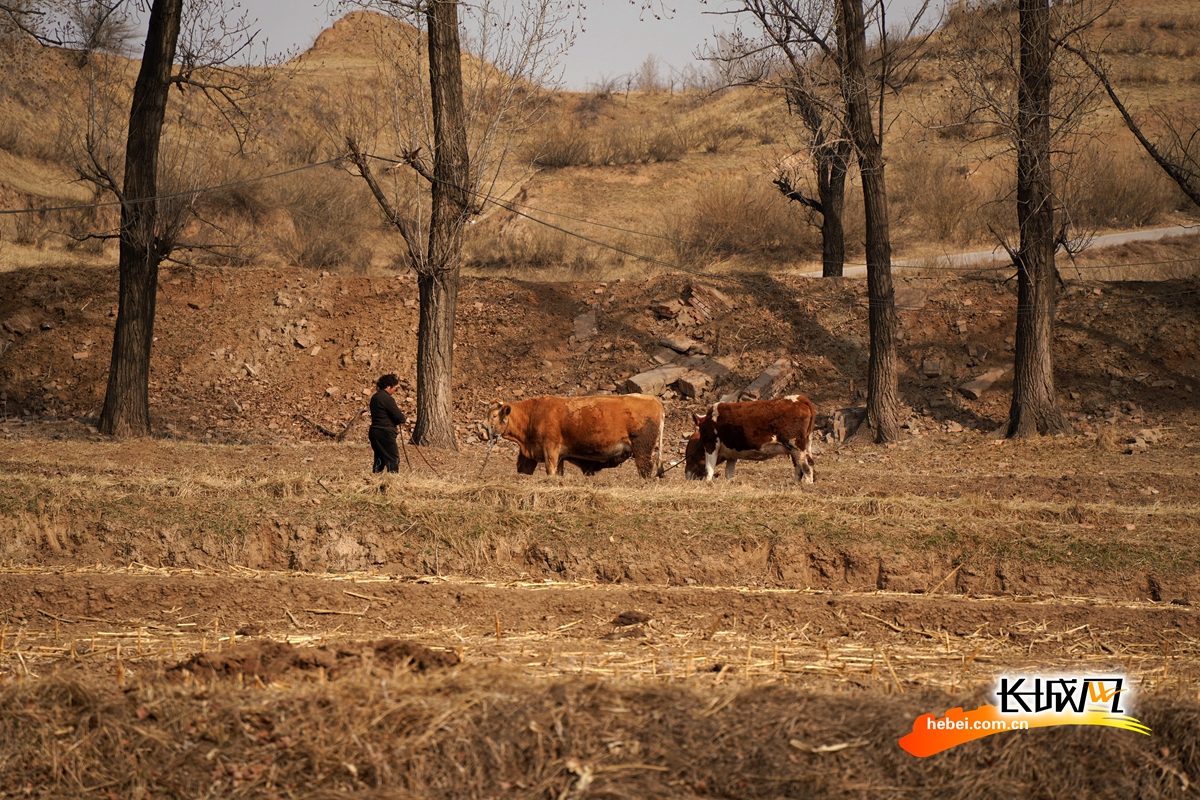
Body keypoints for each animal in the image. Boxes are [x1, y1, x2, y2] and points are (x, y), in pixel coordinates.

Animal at [482, 395, 667, 479]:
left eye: (494, 416)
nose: (481, 431)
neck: (533, 414)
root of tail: (653, 399)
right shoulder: (558, 456)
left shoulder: (551, 448)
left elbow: (550, 470)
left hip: (642, 449)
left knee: (645, 468)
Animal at [686, 393, 816, 482]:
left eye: (691, 457)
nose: (687, 475)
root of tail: (799, 398)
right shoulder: (732, 454)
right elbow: (729, 473)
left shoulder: (711, 444)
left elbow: (709, 467)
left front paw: (707, 482)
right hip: (799, 447)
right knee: (802, 466)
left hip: (795, 445)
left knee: (806, 467)